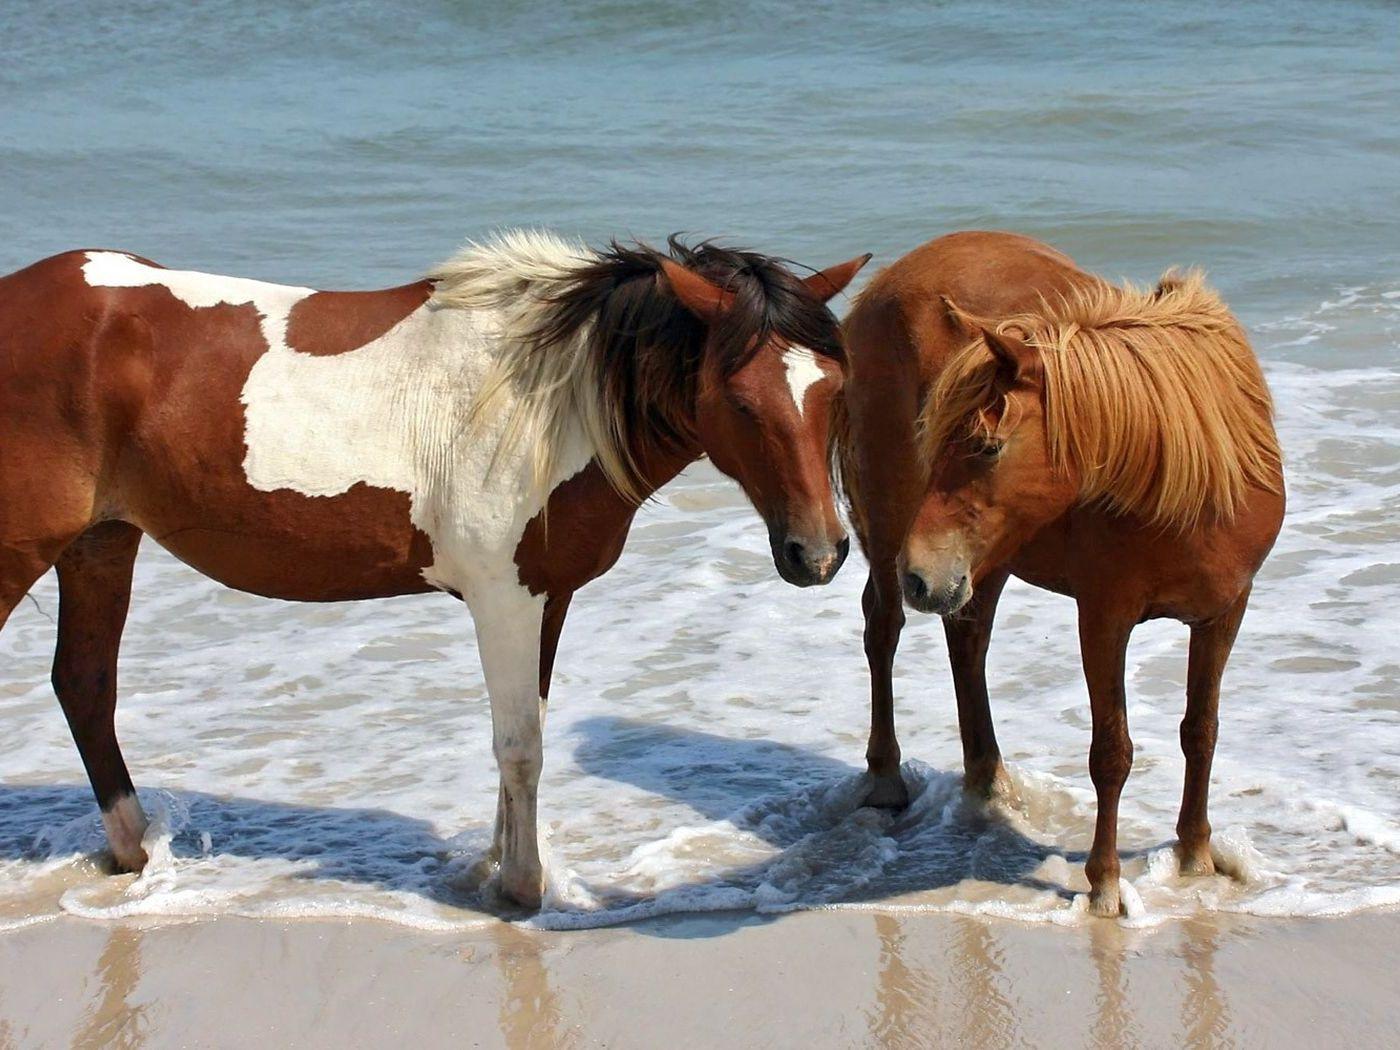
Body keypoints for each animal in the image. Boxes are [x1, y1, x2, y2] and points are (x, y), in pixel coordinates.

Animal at [0, 229, 871, 908]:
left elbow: (524, 733)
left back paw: (133, 852)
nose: (820, 553)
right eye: (741, 400)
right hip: (27, 551)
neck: (545, 401)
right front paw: (520, 889)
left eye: (834, 389)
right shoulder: (505, 598)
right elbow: (520, 744)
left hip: (102, 543)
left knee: (85, 686)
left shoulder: (544, 597)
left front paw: (494, 865)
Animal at [834, 231, 1284, 916]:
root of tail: (883, 285)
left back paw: (988, 778)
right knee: (882, 629)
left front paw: (1195, 854)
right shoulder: (1103, 617)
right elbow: (1111, 753)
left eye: (987, 447)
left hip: (982, 563)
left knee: (967, 640)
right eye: (934, 439)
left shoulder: (1225, 611)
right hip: (896, 533)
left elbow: (1200, 731)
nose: (921, 576)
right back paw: (886, 776)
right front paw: (1104, 885)